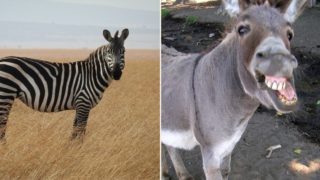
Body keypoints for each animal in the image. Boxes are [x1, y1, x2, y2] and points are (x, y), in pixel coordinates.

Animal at [0, 28, 129, 141]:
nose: (116, 73)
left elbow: (75, 131)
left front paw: (71, 149)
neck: (92, 75)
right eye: (108, 52)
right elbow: (80, 132)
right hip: (5, 95)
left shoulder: (79, 105)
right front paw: (79, 150)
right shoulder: (83, 102)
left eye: (123, 51)